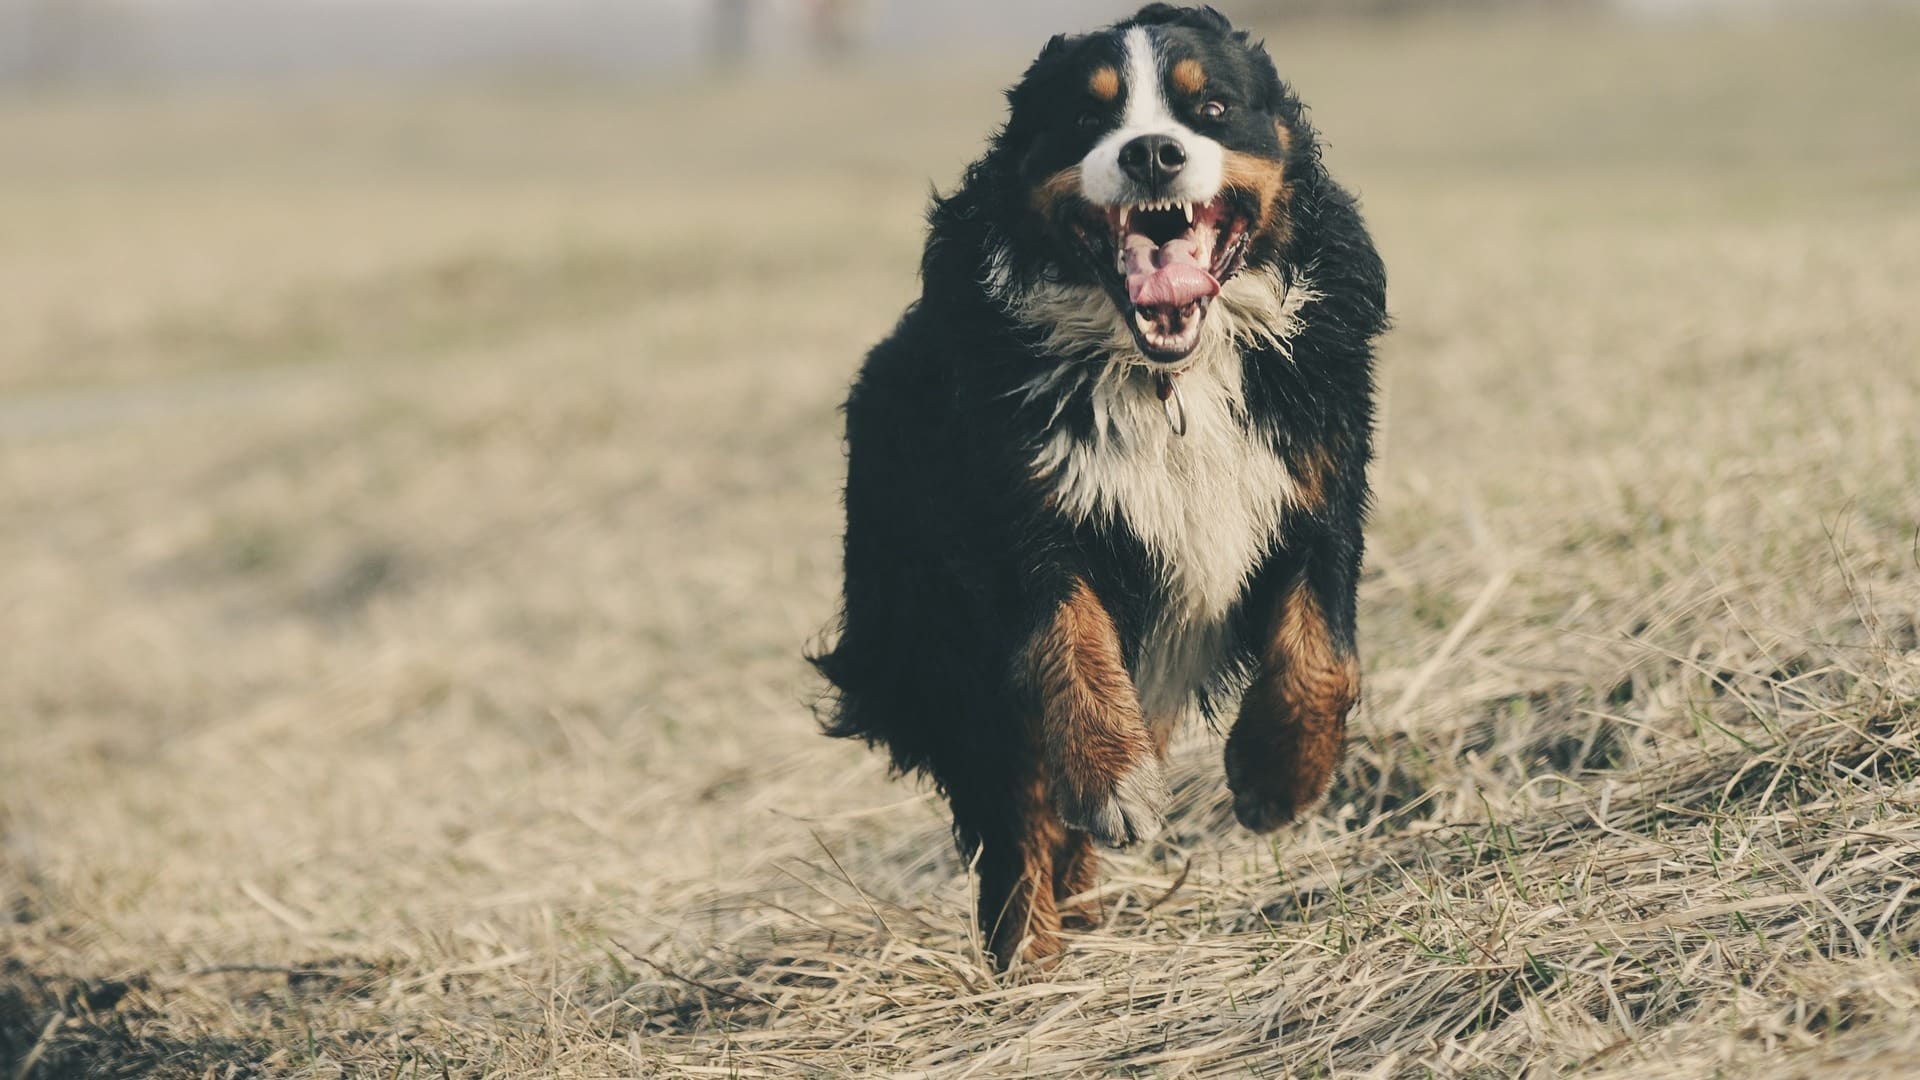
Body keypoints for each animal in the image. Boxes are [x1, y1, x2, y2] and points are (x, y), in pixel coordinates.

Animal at [806, 6, 1382, 968]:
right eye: (1086, 116)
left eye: (1211, 106)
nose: (1151, 152)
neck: (1167, 378)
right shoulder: (1023, 518)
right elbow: (1069, 647)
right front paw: (1114, 781)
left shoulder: (1318, 483)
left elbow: (1323, 656)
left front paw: (1276, 776)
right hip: (939, 640)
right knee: (1014, 810)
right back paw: (1031, 953)